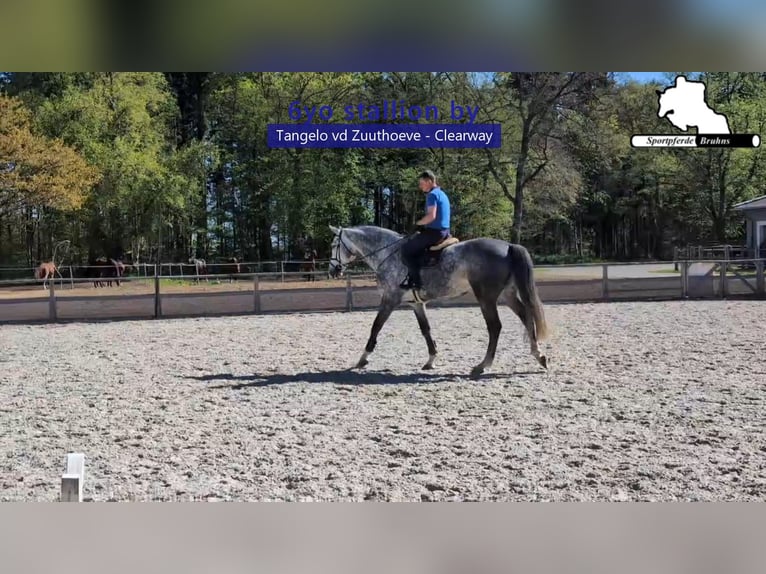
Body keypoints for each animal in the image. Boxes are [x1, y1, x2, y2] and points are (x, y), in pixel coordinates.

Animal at [327, 225, 549, 377]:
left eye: (334, 245)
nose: (333, 271)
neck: (387, 253)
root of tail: (508, 246)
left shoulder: (390, 299)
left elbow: (376, 326)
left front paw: (363, 358)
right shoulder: (416, 304)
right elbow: (426, 330)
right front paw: (431, 359)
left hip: (486, 298)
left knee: (495, 327)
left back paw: (482, 365)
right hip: (507, 295)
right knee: (526, 316)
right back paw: (538, 355)